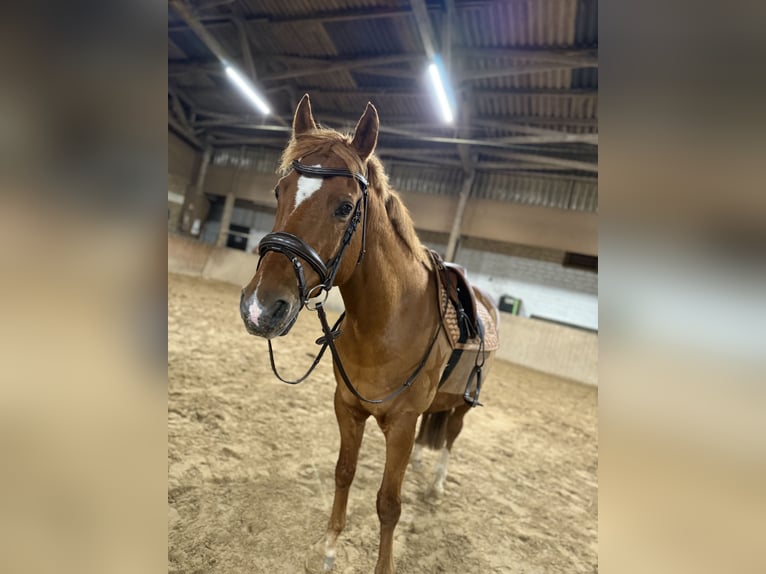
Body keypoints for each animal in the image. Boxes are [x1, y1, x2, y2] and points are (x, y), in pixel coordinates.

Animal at [240, 94, 498, 574]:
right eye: (279, 192)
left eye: (344, 206)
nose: (260, 308)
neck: (387, 323)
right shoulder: (348, 408)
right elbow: (344, 472)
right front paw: (329, 546)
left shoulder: (400, 424)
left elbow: (388, 504)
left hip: (461, 406)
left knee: (450, 438)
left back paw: (436, 486)